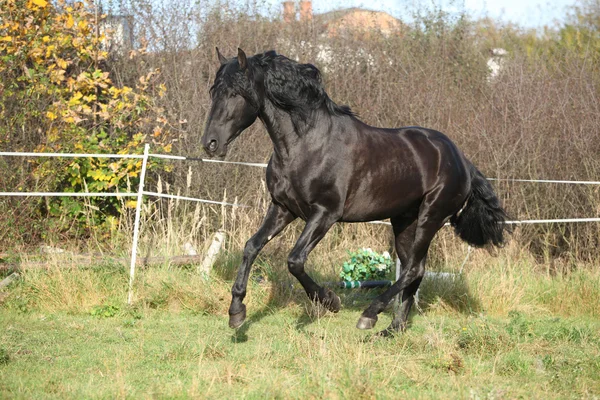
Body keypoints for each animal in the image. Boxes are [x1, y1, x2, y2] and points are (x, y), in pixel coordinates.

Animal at [202, 47, 506, 334]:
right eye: (213, 91)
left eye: (235, 93)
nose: (210, 144)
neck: (306, 144)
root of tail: (462, 161)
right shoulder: (283, 208)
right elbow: (251, 246)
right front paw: (236, 312)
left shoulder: (325, 214)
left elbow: (295, 260)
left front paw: (330, 301)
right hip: (404, 222)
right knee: (415, 270)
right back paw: (392, 330)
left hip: (430, 218)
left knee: (412, 269)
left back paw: (369, 315)